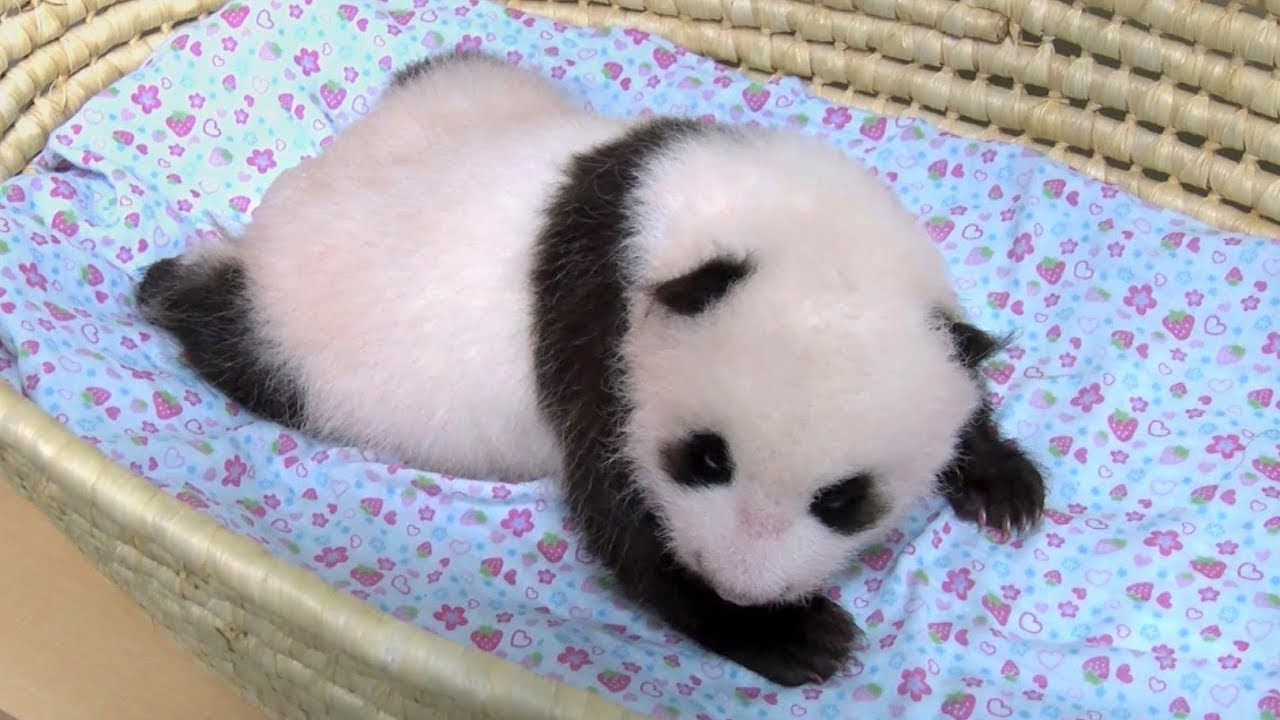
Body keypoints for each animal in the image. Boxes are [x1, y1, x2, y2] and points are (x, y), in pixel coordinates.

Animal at [135, 50, 1046, 687]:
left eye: (843, 499)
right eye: (705, 457)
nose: (741, 586)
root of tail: (297, 184)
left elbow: (963, 367)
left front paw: (1001, 481)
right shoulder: (601, 320)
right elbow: (615, 502)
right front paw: (790, 635)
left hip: (466, 85)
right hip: (300, 337)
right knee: (233, 333)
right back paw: (171, 287)